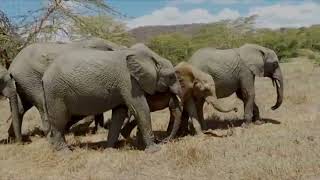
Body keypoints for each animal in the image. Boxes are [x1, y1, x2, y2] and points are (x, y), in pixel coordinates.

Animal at [42, 45, 182, 152]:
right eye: (171, 76)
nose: (162, 140)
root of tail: (45, 75)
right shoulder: (128, 81)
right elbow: (140, 109)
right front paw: (155, 150)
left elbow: (119, 114)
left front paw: (109, 150)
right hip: (55, 91)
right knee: (59, 120)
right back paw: (64, 153)